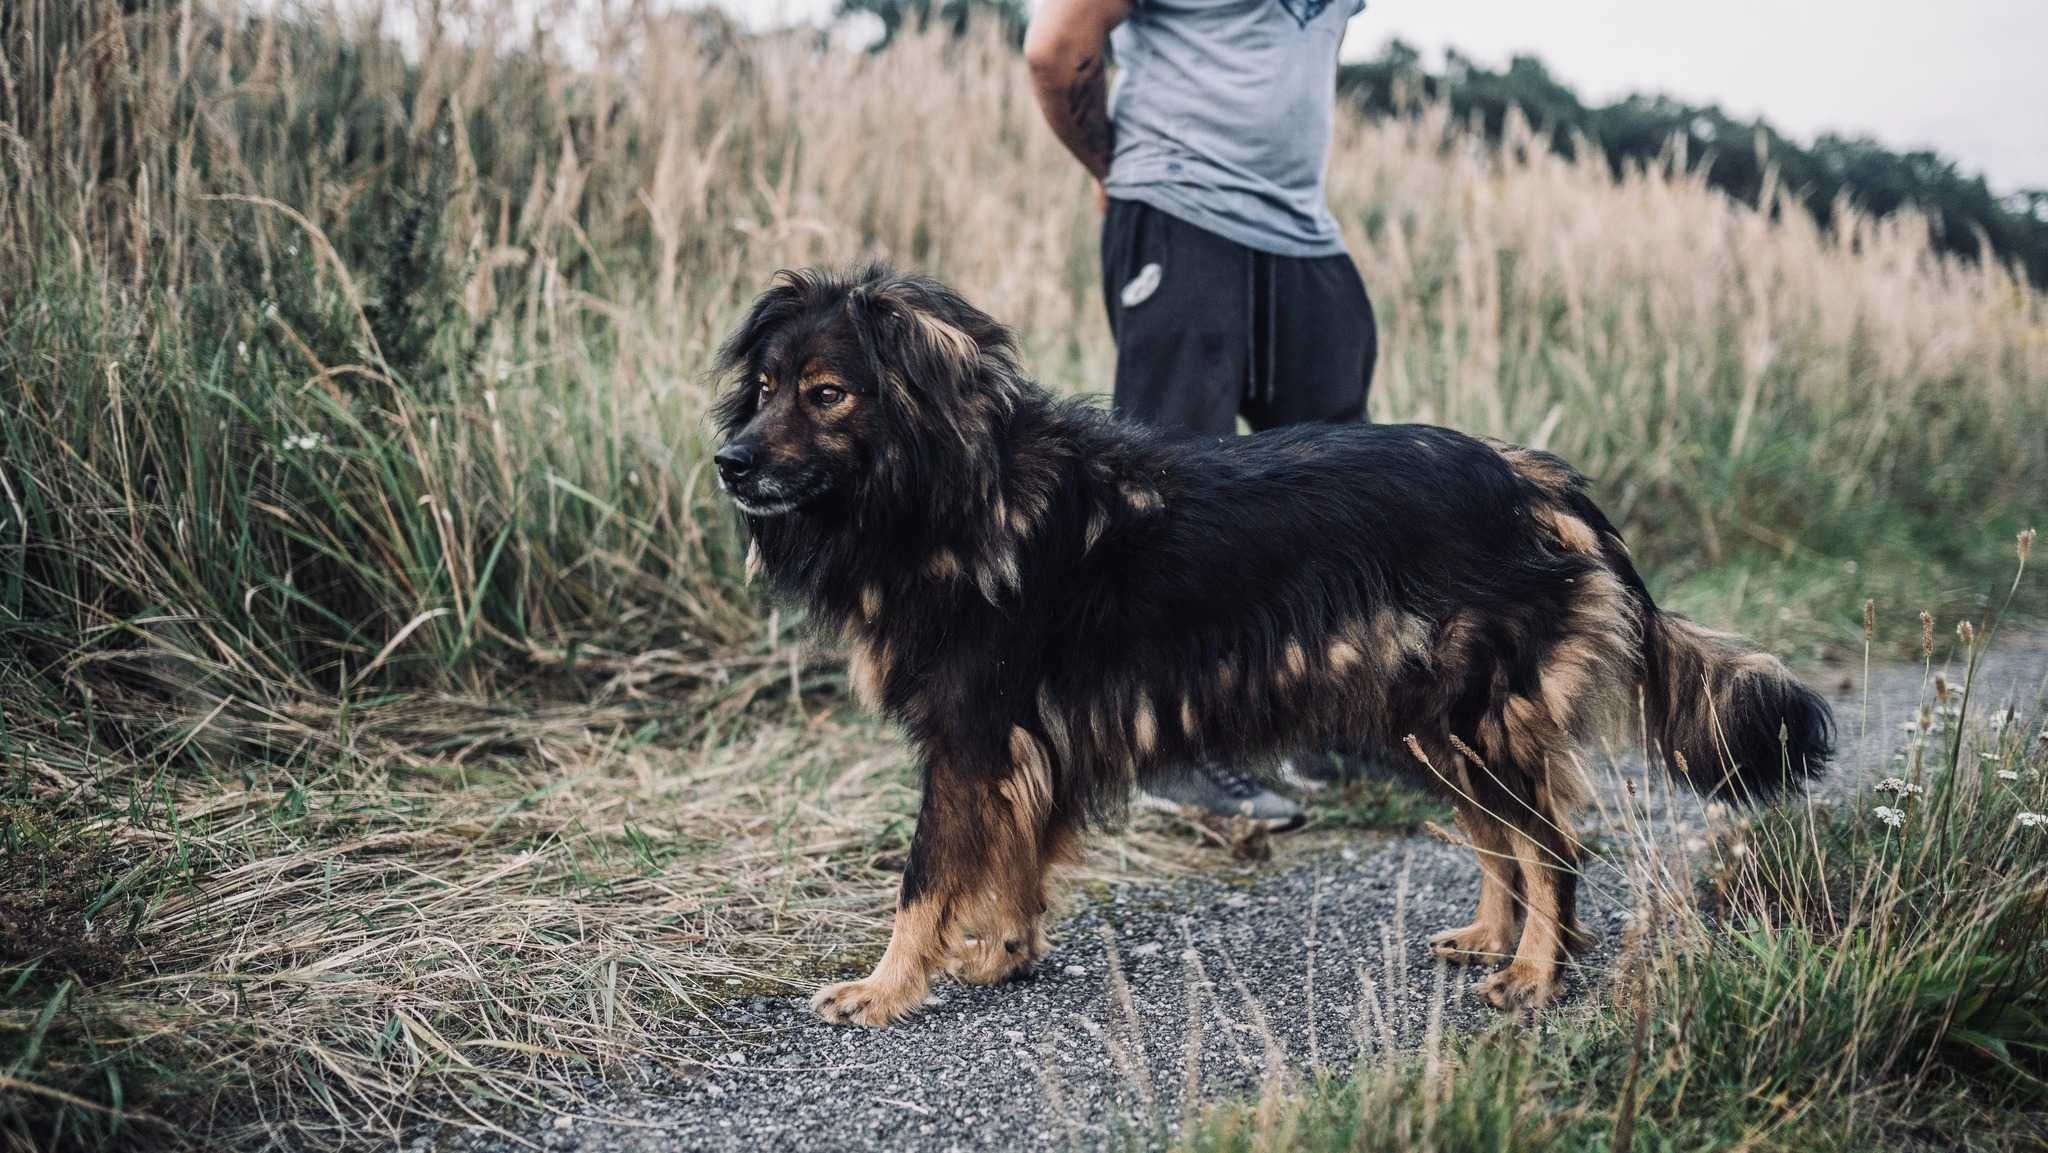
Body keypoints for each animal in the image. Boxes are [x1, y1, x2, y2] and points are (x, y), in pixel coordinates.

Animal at [712, 264, 1835, 1028]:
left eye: (825, 393)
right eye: (760, 387)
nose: (726, 461)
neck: (957, 489)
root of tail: (1537, 479)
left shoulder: (969, 736)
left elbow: (924, 879)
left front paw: (885, 986)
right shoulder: (1021, 742)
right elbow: (1013, 860)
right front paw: (1006, 953)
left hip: (1480, 717)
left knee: (1550, 848)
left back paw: (1534, 974)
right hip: (1436, 729)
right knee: (1501, 845)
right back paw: (1491, 939)